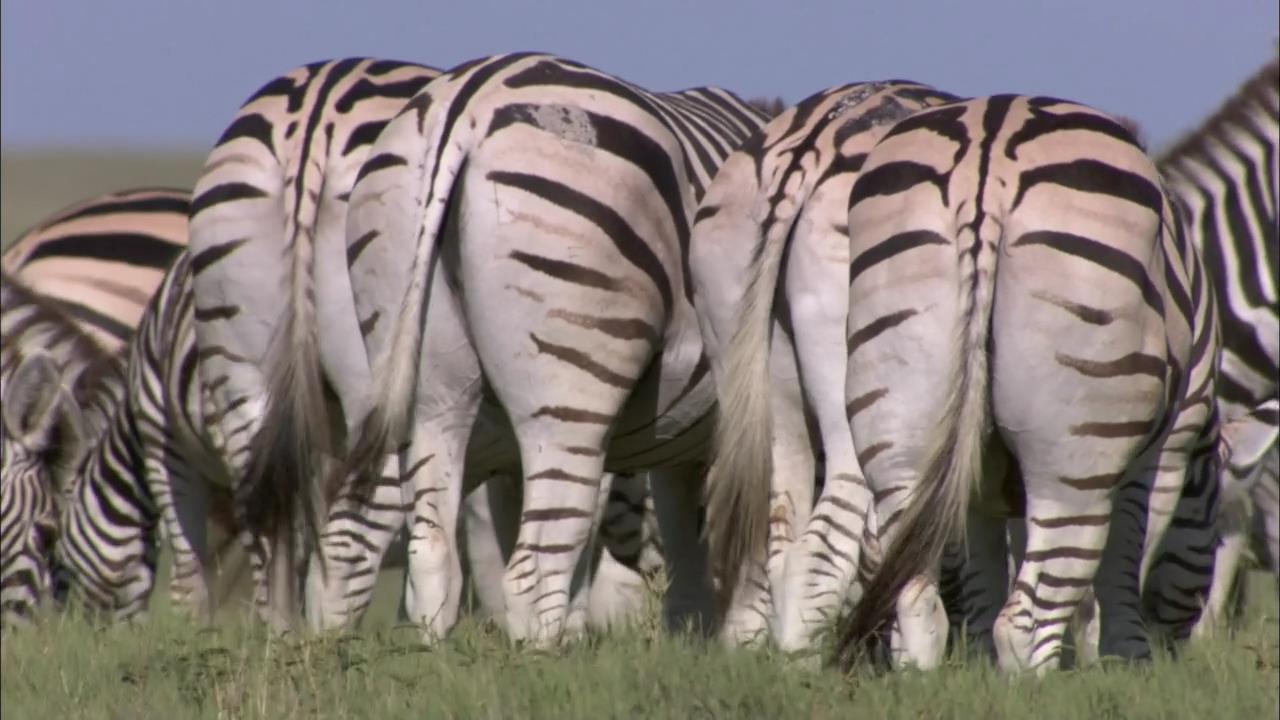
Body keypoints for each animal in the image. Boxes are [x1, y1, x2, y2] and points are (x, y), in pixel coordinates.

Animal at [331, 52, 770, 645]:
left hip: (423, 371)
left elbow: (688, 545)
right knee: (532, 565)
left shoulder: (684, 449)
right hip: (571, 380)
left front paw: (695, 641)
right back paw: (544, 660)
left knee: (433, 553)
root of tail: (466, 101)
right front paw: (758, 644)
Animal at [828, 94, 1220, 673]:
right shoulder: (1169, 448)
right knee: (1026, 617)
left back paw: (921, 675)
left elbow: (985, 567)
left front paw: (978, 665)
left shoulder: (982, 477)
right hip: (1079, 442)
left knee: (919, 601)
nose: (1185, 644)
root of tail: (989, 142)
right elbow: (1123, 565)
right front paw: (1124, 663)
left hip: (899, 416)